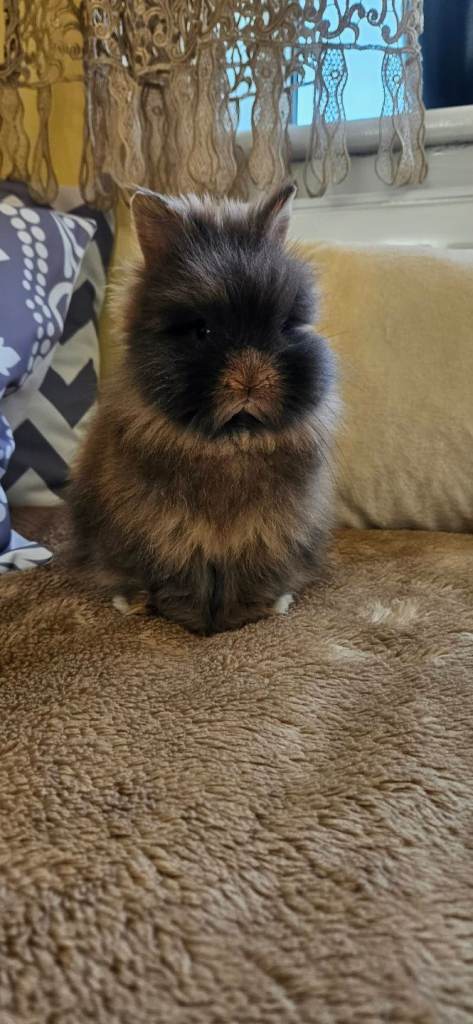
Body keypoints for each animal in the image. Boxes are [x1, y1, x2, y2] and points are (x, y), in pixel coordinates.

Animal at [68, 183, 338, 635]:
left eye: (284, 326)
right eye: (201, 331)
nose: (251, 380)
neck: (231, 441)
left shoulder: (267, 533)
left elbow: (251, 577)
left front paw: (245, 615)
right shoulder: (166, 534)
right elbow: (181, 579)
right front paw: (193, 621)